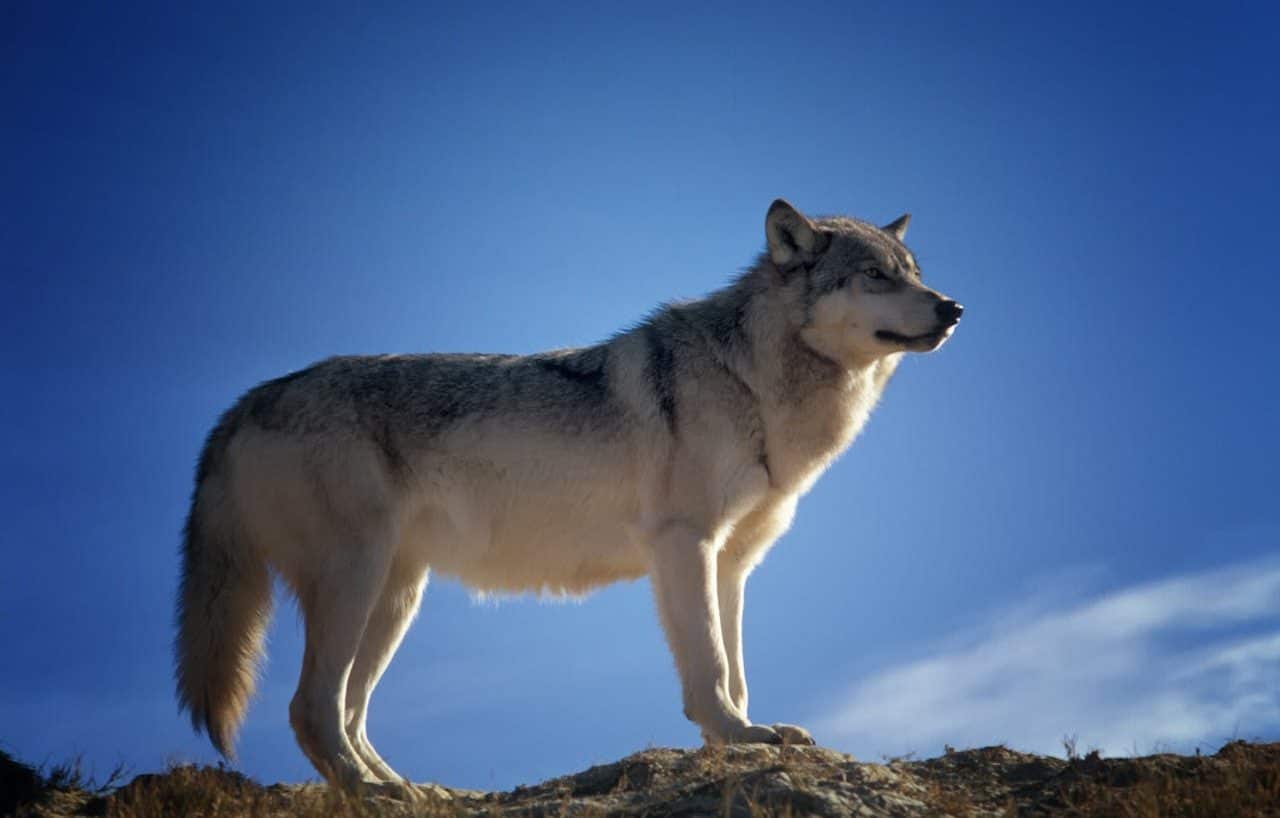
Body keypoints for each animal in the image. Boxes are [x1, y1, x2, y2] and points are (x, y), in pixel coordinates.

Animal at [175, 198, 962, 793]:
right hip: (356, 582)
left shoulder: (732, 563)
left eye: (914, 274)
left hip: (396, 598)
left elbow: (736, 669)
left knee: (348, 712)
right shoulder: (684, 545)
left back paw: (409, 789)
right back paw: (372, 794)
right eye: (874, 276)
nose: (953, 308)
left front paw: (744, 736)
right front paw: (737, 737)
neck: (753, 381)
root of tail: (242, 404)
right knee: (311, 709)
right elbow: (709, 667)